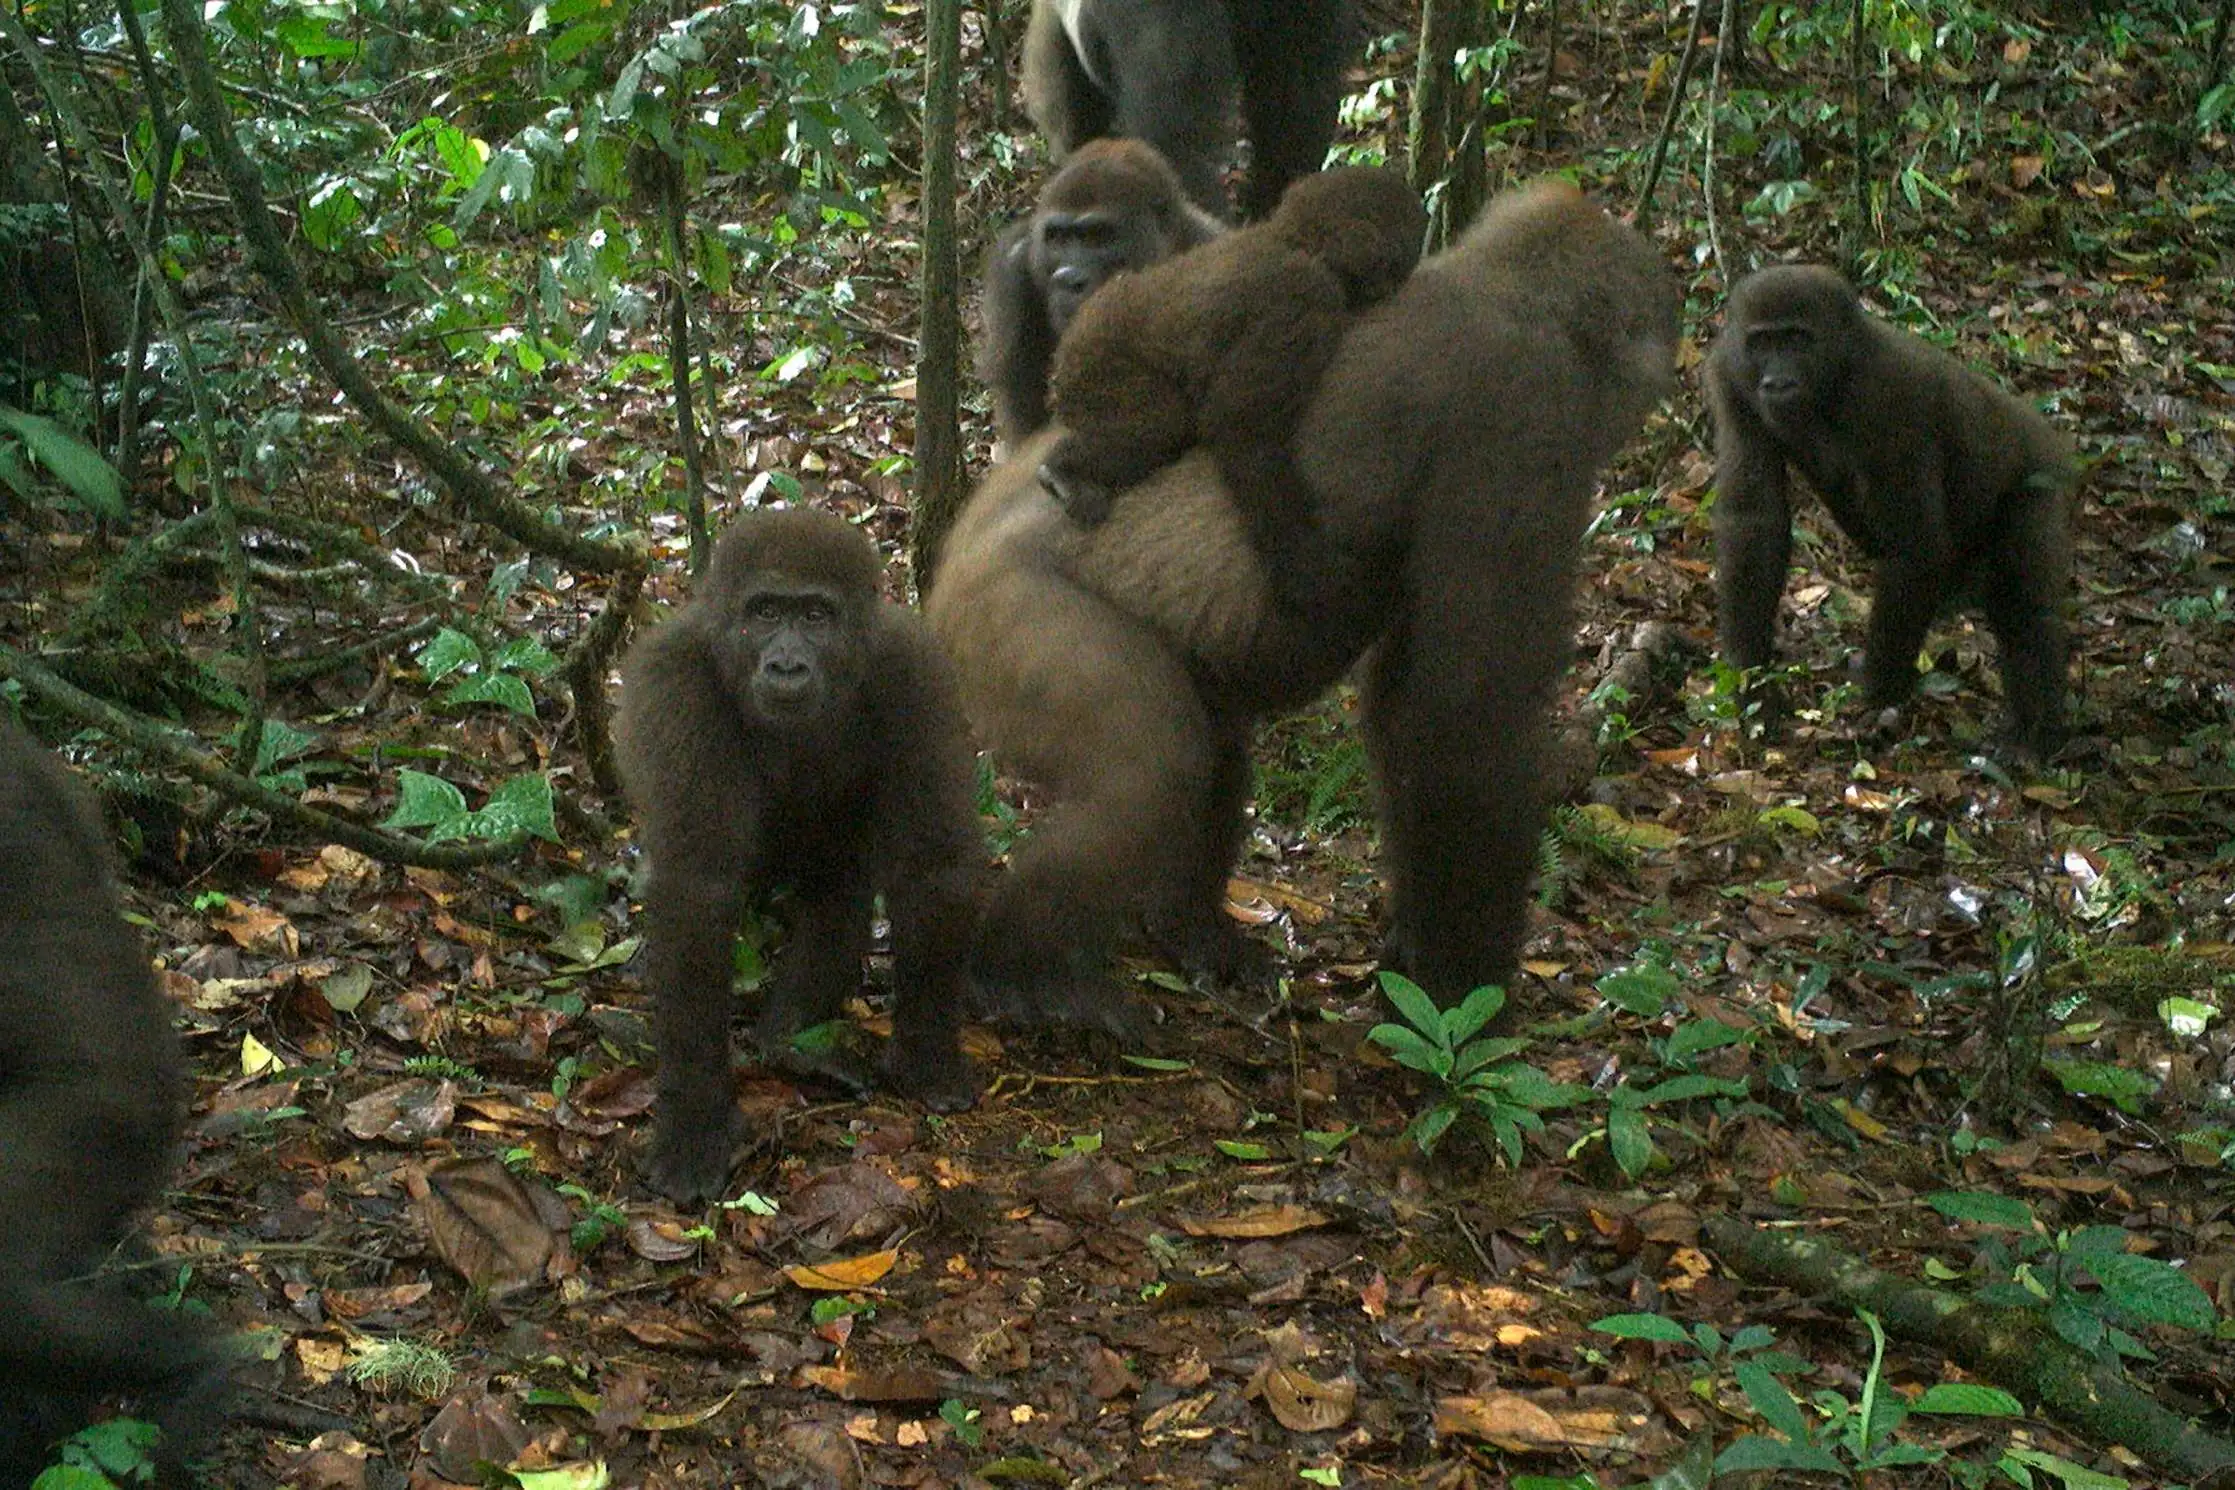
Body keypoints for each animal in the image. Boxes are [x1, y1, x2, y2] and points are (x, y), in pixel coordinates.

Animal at [614, 508, 983, 1205]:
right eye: (764, 612)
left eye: (816, 615)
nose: (786, 664)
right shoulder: (676, 681)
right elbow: (697, 890)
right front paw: (696, 1119)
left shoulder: (915, 673)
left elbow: (929, 861)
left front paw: (926, 1053)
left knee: (841, 886)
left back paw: (791, 1040)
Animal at [1036, 165, 1426, 560]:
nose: (1395, 281)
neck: (1292, 239)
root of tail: (1063, 355)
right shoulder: (1302, 297)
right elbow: (1241, 434)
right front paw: (1307, 557)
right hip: (1095, 366)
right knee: (1155, 425)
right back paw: (1062, 470)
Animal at [1705, 264, 2077, 760]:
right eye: (1763, 342)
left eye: (1797, 339)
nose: (1778, 381)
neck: (1839, 366)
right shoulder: (1730, 374)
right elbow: (1754, 521)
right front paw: (1754, 682)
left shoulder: (1891, 394)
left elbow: (1915, 548)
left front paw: (1878, 697)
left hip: (2043, 479)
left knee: (2024, 605)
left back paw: (2038, 735)